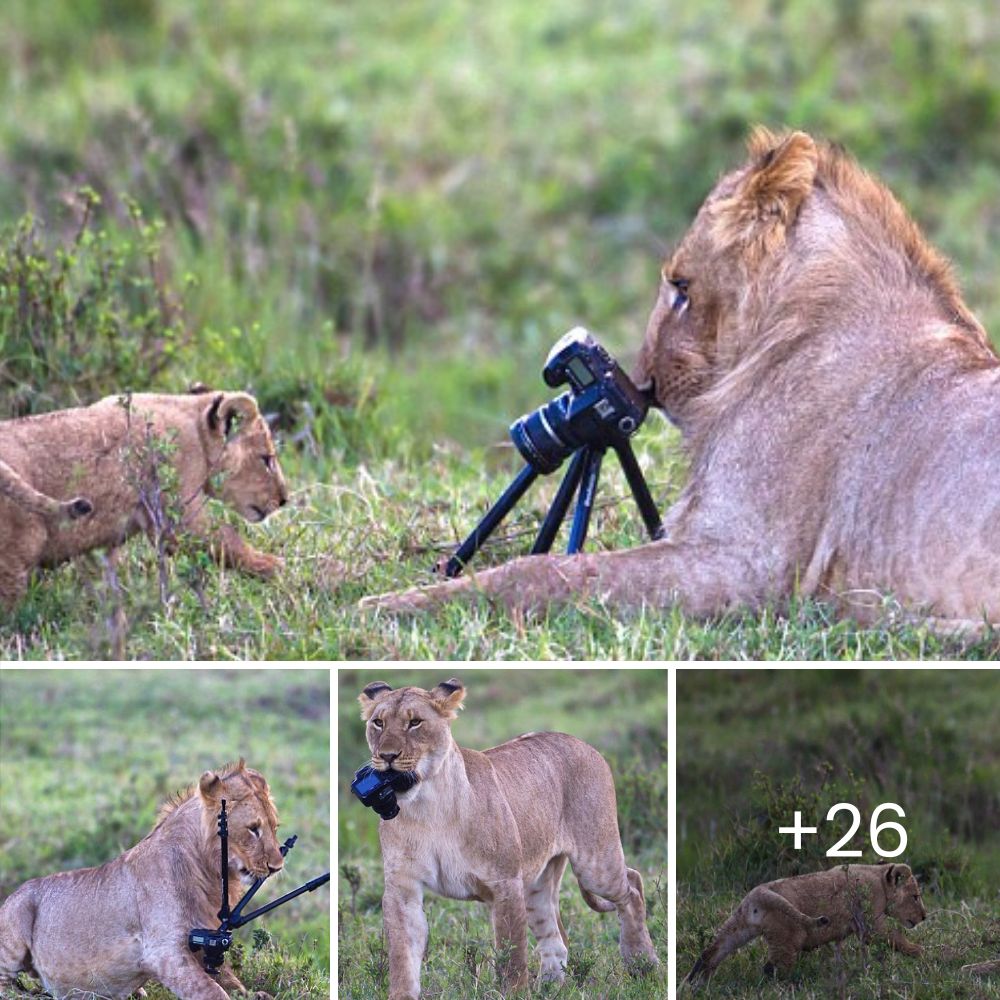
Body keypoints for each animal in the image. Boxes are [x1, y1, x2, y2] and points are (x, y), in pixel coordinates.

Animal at [0, 390, 290, 608]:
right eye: (266, 459)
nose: (284, 499)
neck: (195, 425)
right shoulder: (178, 514)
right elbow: (227, 542)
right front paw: (275, 567)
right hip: (18, 552)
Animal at [0, 760, 286, 996]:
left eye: (274, 827)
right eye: (253, 829)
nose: (277, 867)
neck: (209, 872)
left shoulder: (208, 941)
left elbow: (232, 982)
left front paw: (257, 995)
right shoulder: (163, 952)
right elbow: (212, 991)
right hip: (16, 920)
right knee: (7, 987)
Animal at [358, 676, 656, 996]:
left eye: (415, 722)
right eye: (378, 723)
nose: (387, 756)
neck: (427, 807)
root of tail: (582, 743)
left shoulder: (505, 883)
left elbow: (511, 955)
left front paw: (514, 993)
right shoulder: (403, 889)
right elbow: (402, 955)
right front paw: (402, 993)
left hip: (595, 865)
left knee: (633, 885)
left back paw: (642, 964)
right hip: (537, 884)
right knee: (556, 938)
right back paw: (550, 987)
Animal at [364, 127, 1000, 632]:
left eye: (681, 286)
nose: (643, 383)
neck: (796, 327)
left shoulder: (750, 564)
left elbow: (547, 571)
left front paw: (387, 604)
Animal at [692, 860, 924, 984]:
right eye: (915, 896)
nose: (924, 917)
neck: (879, 880)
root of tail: (759, 893)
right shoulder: (871, 923)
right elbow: (895, 938)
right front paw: (921, 953)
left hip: (737, 926)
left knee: (710, 954)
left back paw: (693, 985)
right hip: (786, 942)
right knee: (771, 970)